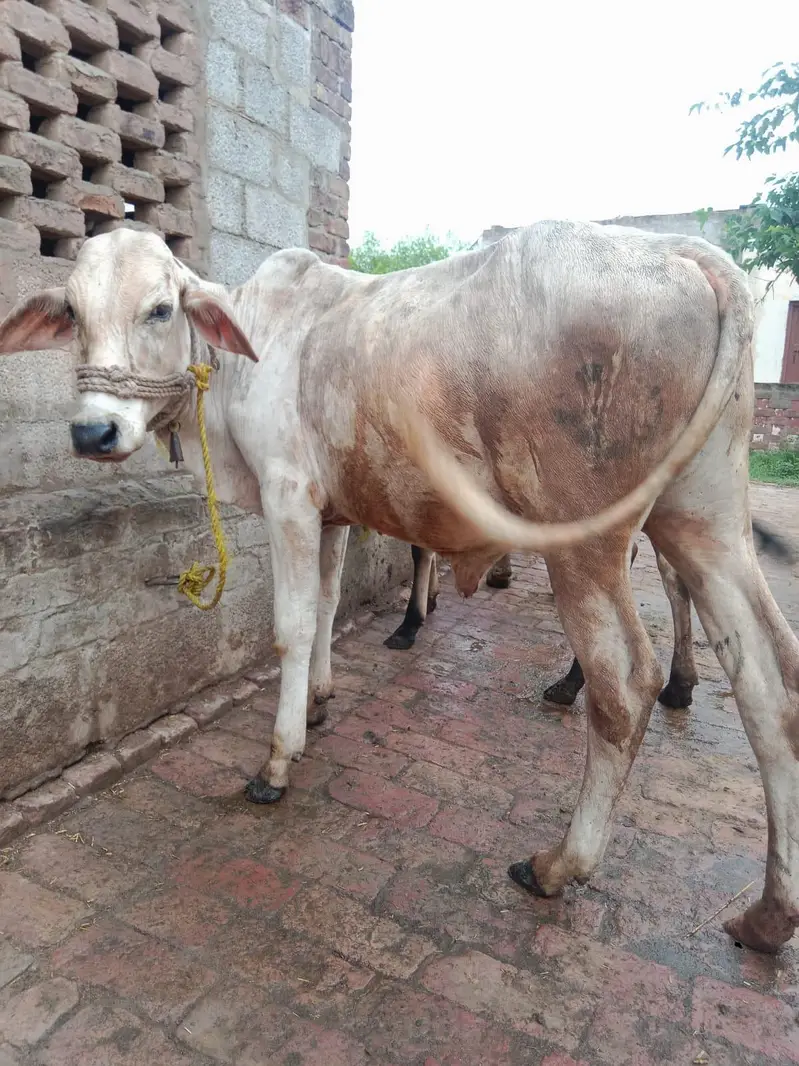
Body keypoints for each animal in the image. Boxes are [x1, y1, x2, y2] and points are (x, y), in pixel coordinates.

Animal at [2, 219, 796, 955]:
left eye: (161, 309)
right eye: (71, 311)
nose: (94, 432)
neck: (243, 354)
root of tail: (685, 252)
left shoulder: (288, 497)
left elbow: (291, 628)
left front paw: (277, 760)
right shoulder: (330, 512)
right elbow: (325, 609)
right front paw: (318, 701)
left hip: (587, 540)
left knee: (626, 687)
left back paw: (557, 864)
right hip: (704, 518)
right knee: (767, 686)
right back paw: (767, 915)